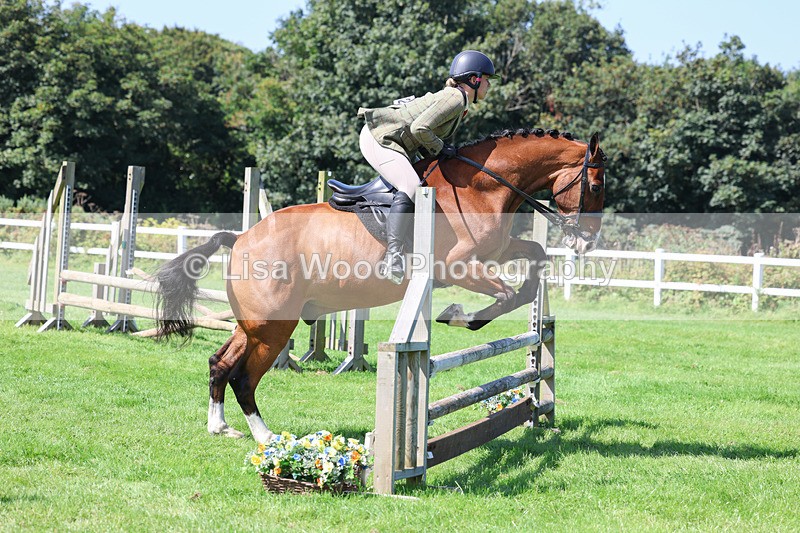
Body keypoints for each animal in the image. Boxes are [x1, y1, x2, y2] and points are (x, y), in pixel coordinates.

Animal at [154, 128, 606, 443]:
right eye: (597, 186)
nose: (586, 242)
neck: (484, 187)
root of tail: (241, 238)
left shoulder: (498, 252)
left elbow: (533, 264)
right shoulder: (458, 266)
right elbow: (507, 294)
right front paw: (458, 315)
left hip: (253, 325)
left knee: (220, 363)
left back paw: (220, 427)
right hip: (272, 328)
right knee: (244, 378)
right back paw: (265, 436)